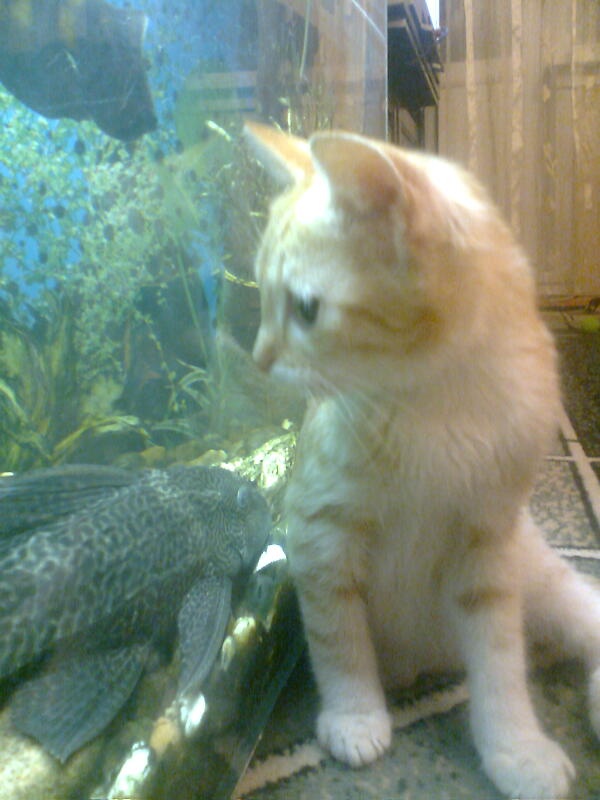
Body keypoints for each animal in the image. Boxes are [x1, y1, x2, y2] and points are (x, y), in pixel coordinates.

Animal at [244, 121, 600, 799]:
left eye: (306, 309)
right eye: (264, 298)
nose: (259, 359)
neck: (432, 405)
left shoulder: (488, 550)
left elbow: (500, 666)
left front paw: (516, 750)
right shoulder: (320, 537)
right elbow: (339, 640)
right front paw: (355, 716)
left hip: (539, 577)